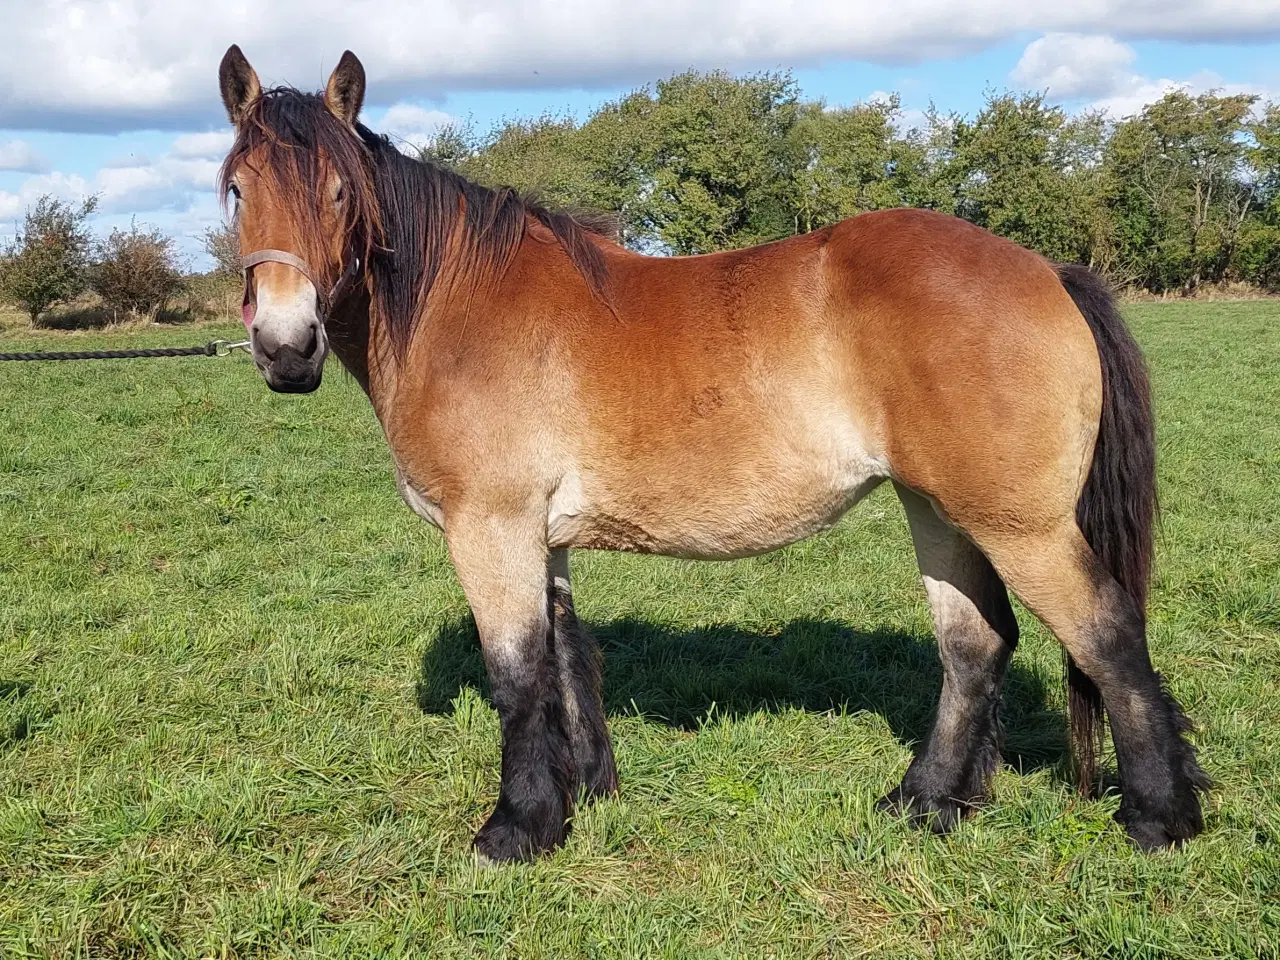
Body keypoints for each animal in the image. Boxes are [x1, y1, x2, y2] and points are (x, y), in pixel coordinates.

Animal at [215, 45, 1203, 865]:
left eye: (341, 192)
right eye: (237, 189)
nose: (285, 346)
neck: (461, 303)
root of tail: (1046, 270)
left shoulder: (489, 528)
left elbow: (516, 671)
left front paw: (515, 829)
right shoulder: (541, 534)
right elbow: (568, 656)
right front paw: (586, 795)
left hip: (1019, 523)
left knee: (1107, 635)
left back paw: (1159, 818)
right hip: (941, 509)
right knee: (975, 645)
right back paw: (925, 803)